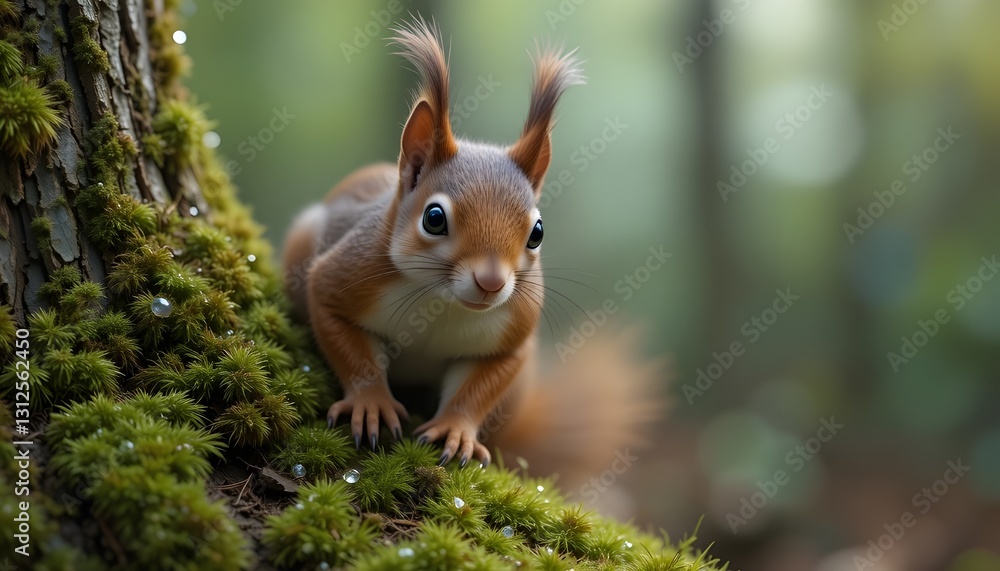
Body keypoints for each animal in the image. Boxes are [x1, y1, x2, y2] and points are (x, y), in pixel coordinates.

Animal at [283, 18, 663, 484]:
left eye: (537, 232)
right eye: (433, 218)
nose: (492, 282)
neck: (441, 303)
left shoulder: (512, 336)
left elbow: (477, 388)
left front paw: (455, 430)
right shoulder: (343, 278)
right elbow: (347, 342)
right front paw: (370, 402)